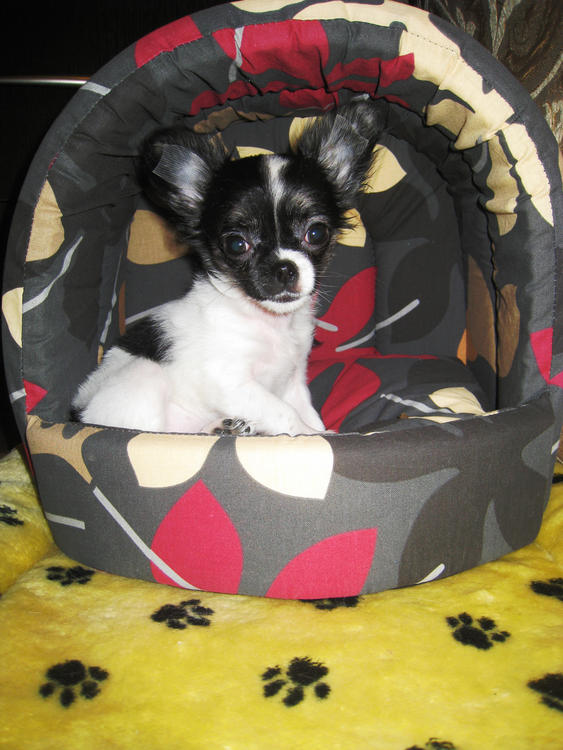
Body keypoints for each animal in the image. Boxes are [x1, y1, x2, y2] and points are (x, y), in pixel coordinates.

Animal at [71, 101, 385, 435]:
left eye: (316, 234)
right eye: (236, 244)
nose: (284, 269)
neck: (270, 324)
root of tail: (79, 416)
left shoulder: (293, 379)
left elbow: (307, 410)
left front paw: (319, 428)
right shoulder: (232, 384)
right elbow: (286, 415)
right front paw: (313, 436)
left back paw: (221, 428)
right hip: (144, 378)